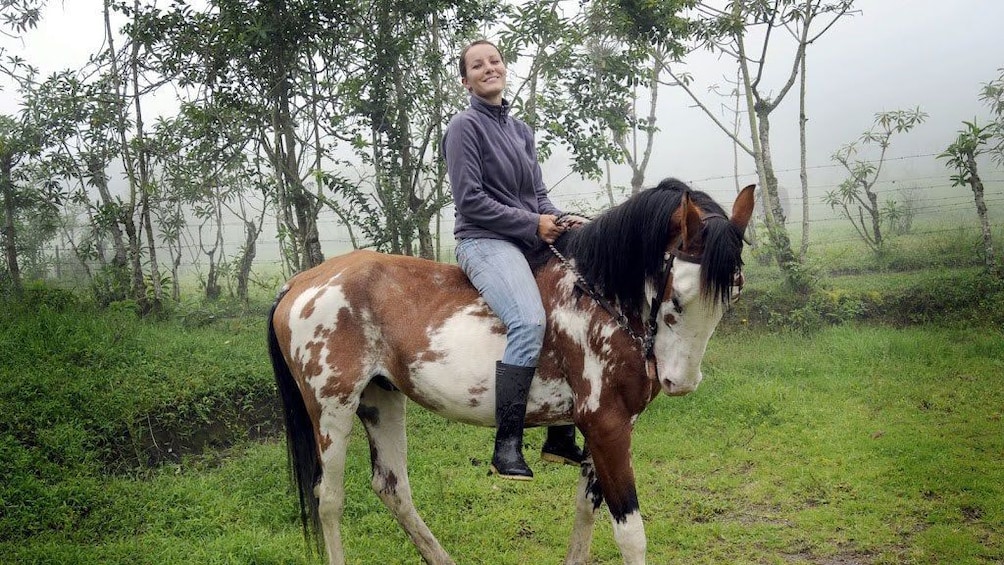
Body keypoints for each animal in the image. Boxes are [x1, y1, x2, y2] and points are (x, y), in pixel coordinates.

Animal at [267, 177, 755, 565]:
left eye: (732, 292)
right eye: (678, 297)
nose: (680, 382)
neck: (598, 297)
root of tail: (301, 282)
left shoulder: (608, 430)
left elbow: (585, 513)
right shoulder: (609, 426)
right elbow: (631, 535)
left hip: (381, 398)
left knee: (392, 487)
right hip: (333, 409)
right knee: (329, 500)